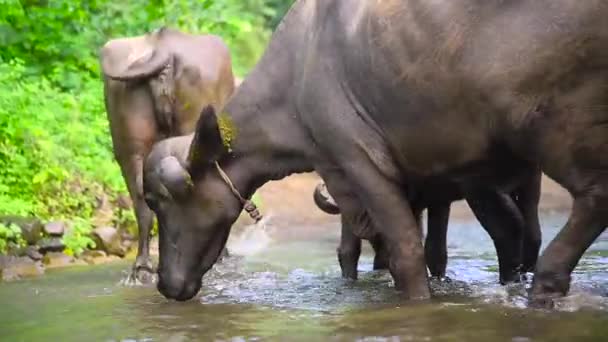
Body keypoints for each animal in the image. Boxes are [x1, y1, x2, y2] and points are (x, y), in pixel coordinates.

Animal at [144, 0, 608, 308]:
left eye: (160, 200)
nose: (166, 284)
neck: (296, 79)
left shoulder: (360, 160)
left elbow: (407, 254)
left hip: (551, 125)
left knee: (591, 198)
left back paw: (545, 286)